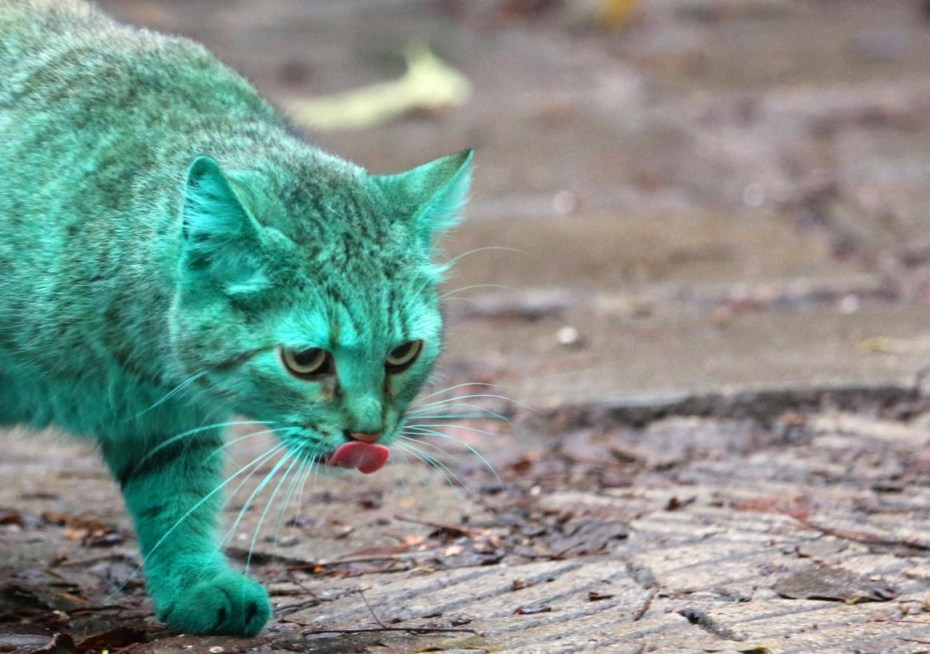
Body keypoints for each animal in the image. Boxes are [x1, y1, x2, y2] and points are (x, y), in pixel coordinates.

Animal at [0, 0, 468, 640]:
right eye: (306, 360)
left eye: (402, 353)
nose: (369, 435)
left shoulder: (168, 415)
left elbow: (177, 499)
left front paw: (192, 582)